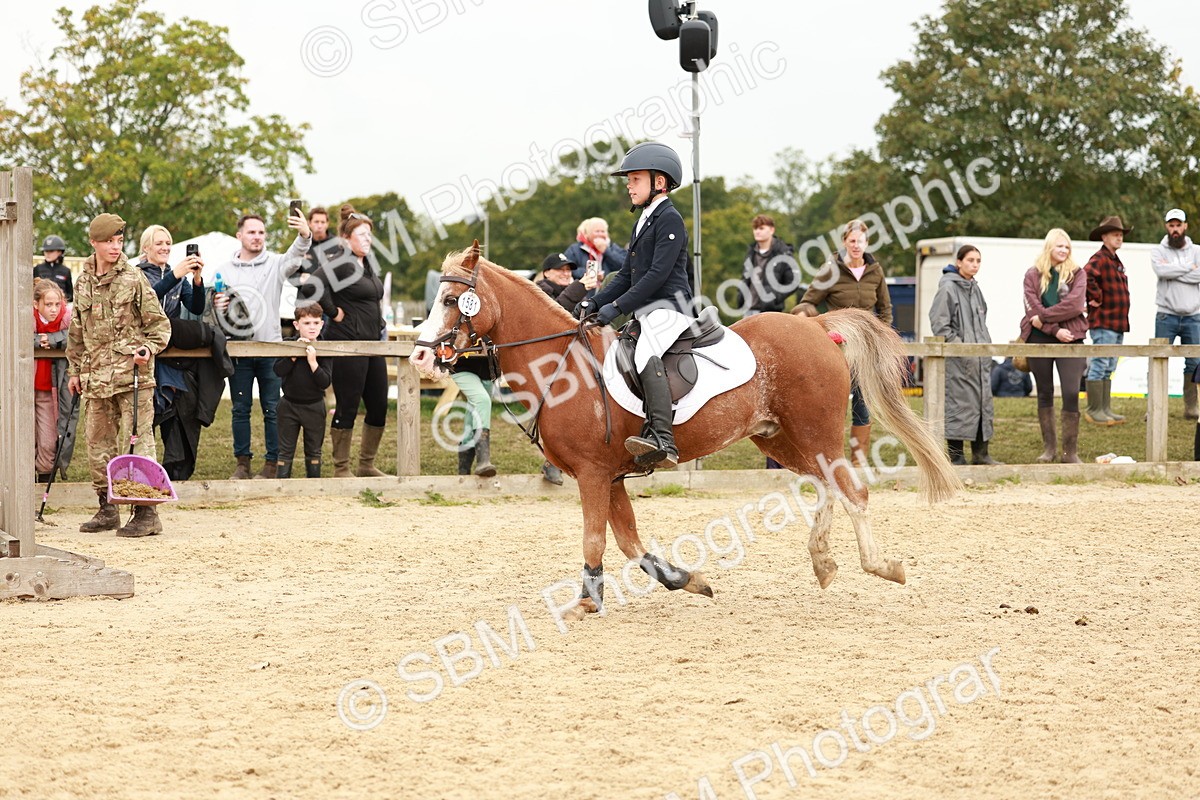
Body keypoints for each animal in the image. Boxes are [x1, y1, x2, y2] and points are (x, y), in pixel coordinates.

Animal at [410, 243, 959, 615]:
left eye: (452, 301)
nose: (419, 356)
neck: (561, 366)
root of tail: (817, 327)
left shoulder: (592, 474)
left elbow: (596, 540)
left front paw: (587, 601)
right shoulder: (609, 475)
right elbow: (629, 542)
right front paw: (687, 580)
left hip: (814, 431)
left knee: (852, 491)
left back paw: (881, 567)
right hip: (780, 437)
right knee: (827, 486)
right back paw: (823, 563)